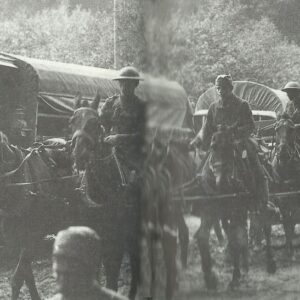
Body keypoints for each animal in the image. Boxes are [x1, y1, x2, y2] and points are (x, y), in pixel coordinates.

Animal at [193, 126, 276, 290]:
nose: (221, 182)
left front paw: (235, 277)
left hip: (260, 201)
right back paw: (244, 264)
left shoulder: (237, 209)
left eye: (230, 148)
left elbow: (237, 239)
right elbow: (203, 236)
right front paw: (210, 277)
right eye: (213, 147)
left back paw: (269, 263)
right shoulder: (211, 209)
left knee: (265, 225)